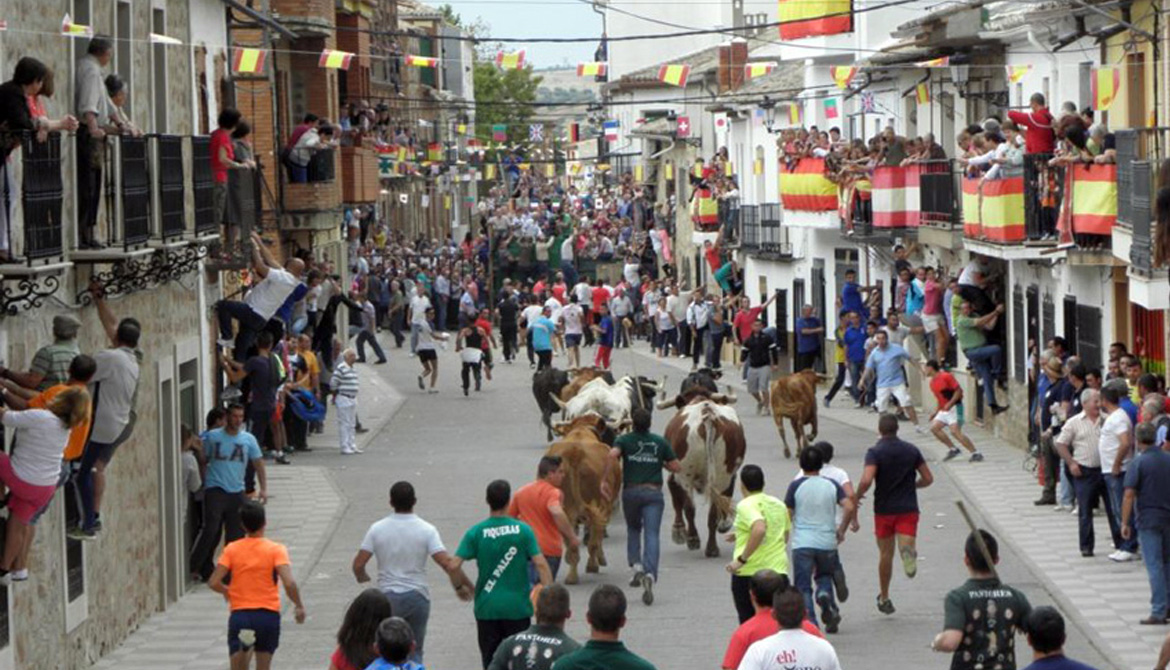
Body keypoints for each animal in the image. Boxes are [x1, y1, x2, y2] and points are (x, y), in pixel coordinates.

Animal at [547, 409, 622, 582]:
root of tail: (575, 452)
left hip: (564, 508)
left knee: (571, 541)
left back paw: (571, 575)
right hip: (600, 504)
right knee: (593, 538)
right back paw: (591, 566)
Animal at [664, 383, 744, 556]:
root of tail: (708, 417)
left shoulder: (675, 473)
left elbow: (675, 495)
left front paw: (678, 531)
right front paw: (725, 523)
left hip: (686, 473)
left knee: (689, 507)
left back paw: (693, 539)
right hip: (722, 474)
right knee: (713, 510)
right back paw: (712, 547)